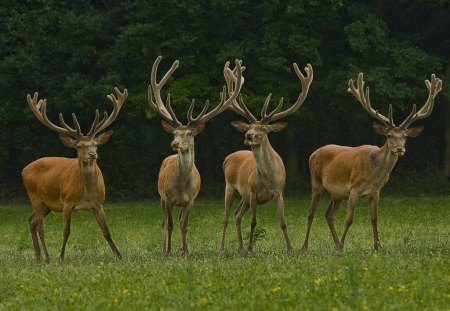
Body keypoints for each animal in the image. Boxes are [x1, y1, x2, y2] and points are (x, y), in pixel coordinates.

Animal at [22, 86, 127, 262]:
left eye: (95, 144)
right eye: (79, 146)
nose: (93, 154)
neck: (87, 194)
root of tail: (24, 169)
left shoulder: (99, 204)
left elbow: (107, 232)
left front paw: (119, 256)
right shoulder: (67, 202)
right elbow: (66, 231)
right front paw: (61, 257)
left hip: (47, 204)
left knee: (32, 221)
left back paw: (37, 256)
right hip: (34, 196)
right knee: (41, 228)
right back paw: (47, 257)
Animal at [149, 56, 243, 256]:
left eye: (190, 133)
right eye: (174, 133)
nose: (175, 143)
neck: (181, 185)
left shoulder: (191, 200)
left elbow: (184, 225)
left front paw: (185, 252)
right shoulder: (167, 197)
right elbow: (169, 225)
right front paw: (168, 252)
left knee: (178, 220)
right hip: (161, 198)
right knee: (164, 222)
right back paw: (164, 249)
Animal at [221, 61, 312, 254]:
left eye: (263, 129)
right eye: (249, 127)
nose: (248, 135)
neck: (267, 178)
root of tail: (228, 157)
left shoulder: (279, 192)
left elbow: (283, 222)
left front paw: (290, 248)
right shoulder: (253, 192)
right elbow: (253, 222)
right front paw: (250, 248)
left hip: (244, 197)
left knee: (237, 215)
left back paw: (239, 247)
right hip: (230, 187)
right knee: (226, 217)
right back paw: (224, 246)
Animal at [300, 72, 442, 252]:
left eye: (405, 136)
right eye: (389, 135)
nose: (400, 148)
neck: (375, 175)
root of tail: (312, 153)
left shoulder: (376, 192)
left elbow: (374, 219)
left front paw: (377, 246)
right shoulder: (354, 188)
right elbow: (349, 219)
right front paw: (345, 245)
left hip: (337, 194)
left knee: (329, 215)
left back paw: (336, 245)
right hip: (316, 182)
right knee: (311, 213)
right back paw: (305, 247)